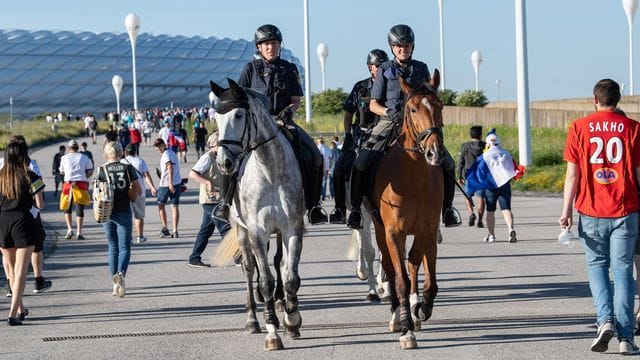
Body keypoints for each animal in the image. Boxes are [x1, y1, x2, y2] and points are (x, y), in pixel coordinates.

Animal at [208, 79, 302, 352]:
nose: (224, 163)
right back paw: (252, 319)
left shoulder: (292, 228)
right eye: (216, 118)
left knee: (280, 263)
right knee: (250, 269)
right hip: (242, 230)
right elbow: (266, 281)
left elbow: (290, 277)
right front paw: (272, 332)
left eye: (239, 114)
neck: (270, 169)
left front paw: (292, 320)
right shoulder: (257, 233)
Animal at [364, 69, 444, 350]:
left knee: (413, 263)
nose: (434, 153)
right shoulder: (393, 233)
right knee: (391, 269)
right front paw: (406, 329)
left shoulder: (428, 231)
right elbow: (399, 280)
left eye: (440, 106)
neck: (412, 178)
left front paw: (422, 309)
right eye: (412, 109)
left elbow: (430, 282)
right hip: (380, 231)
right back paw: (397, 317)